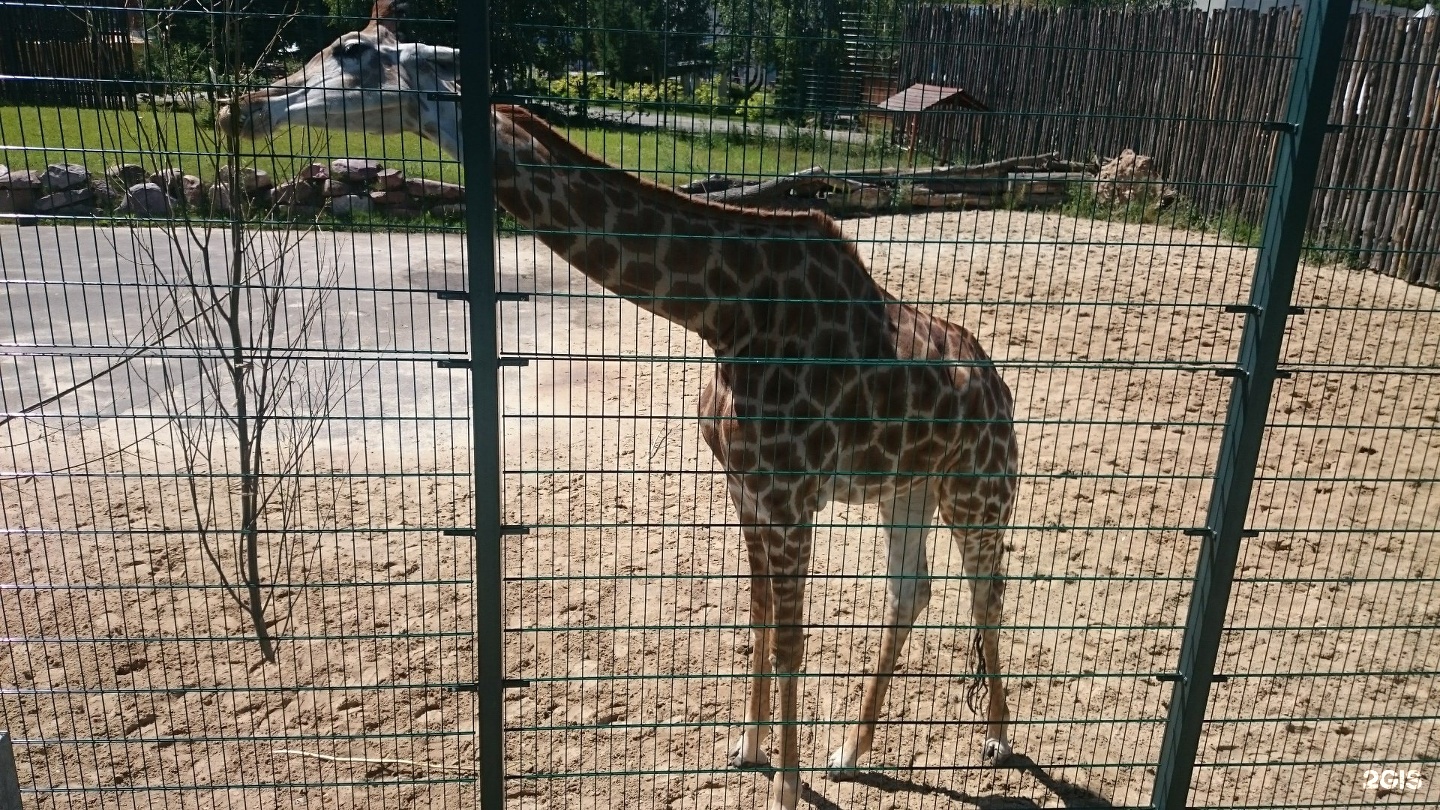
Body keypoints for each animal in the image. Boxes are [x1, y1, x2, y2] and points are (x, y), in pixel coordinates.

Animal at [218, 4, 1019, 801]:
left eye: (350, 51)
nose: (240, 108)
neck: (725, 314)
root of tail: (997, 385)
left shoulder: (789, 494)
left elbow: (791, 637)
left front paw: (785, 789)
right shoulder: (746, 489)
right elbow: (760, 617)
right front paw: (748, 747)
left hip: (978, 487)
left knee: (987, 589)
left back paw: (999, 740)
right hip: (907, 487)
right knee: (911, 591)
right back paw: (852, 751)